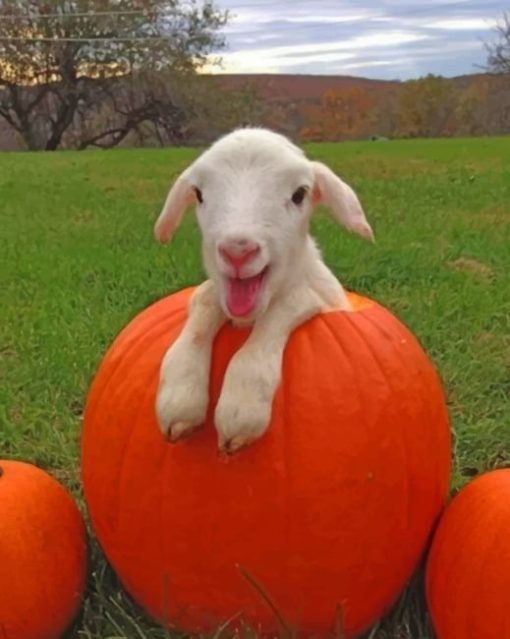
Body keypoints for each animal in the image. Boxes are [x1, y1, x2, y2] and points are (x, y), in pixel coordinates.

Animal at [153, 126, 372, 456]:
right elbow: (204, 303)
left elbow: (289, 305)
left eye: (299, 194)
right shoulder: (214, 297)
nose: (238, 251)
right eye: (199, 194)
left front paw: (241, 407)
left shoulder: (314, 298)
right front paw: (179, 399)